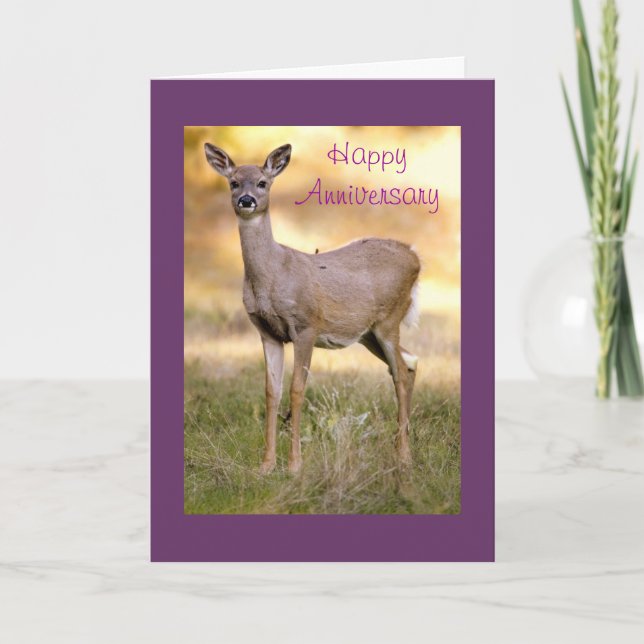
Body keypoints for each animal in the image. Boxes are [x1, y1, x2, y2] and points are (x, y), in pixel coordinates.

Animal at [204, 143, 421, 474]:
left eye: (263, 182)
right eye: (234, 182)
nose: (246, 200)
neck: (273, 276)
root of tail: (416, 258)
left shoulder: (306, 325)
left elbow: (296, 390)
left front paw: (294, 465)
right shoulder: (266, 332)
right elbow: (271, 392)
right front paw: (266, 465)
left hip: (389, 320)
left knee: (400, 373)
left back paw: (404, 457)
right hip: (367, 333)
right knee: (409, 363)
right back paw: (401, 450)